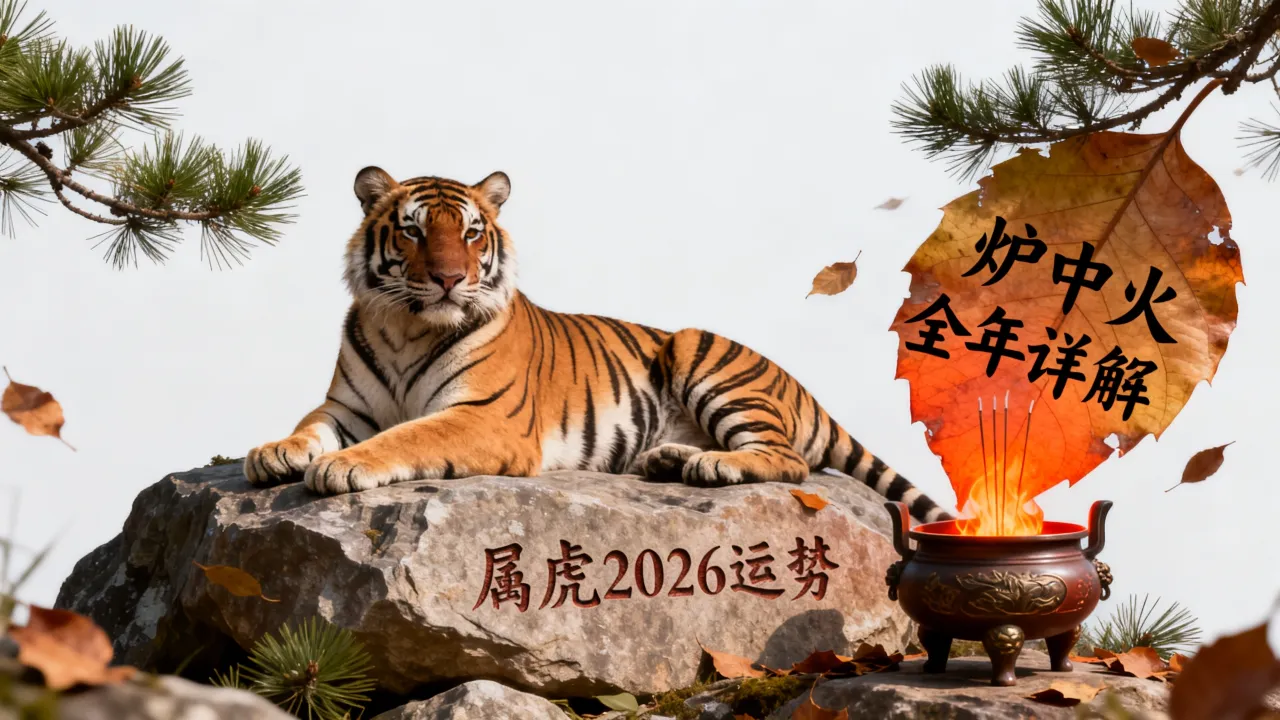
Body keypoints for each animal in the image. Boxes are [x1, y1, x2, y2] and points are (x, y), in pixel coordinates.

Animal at [244, 167, 955, 524]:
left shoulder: (484, 417)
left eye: (471, 232)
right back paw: (671, 460)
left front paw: (343, 466)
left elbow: (408, 435)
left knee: (789, 461)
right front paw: (272, 451)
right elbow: (310, 425)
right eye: (414, 231)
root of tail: (801, 386)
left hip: (701, 352)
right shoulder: (346, 406)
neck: (408, 324)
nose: (449, 278)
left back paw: (712, 466)